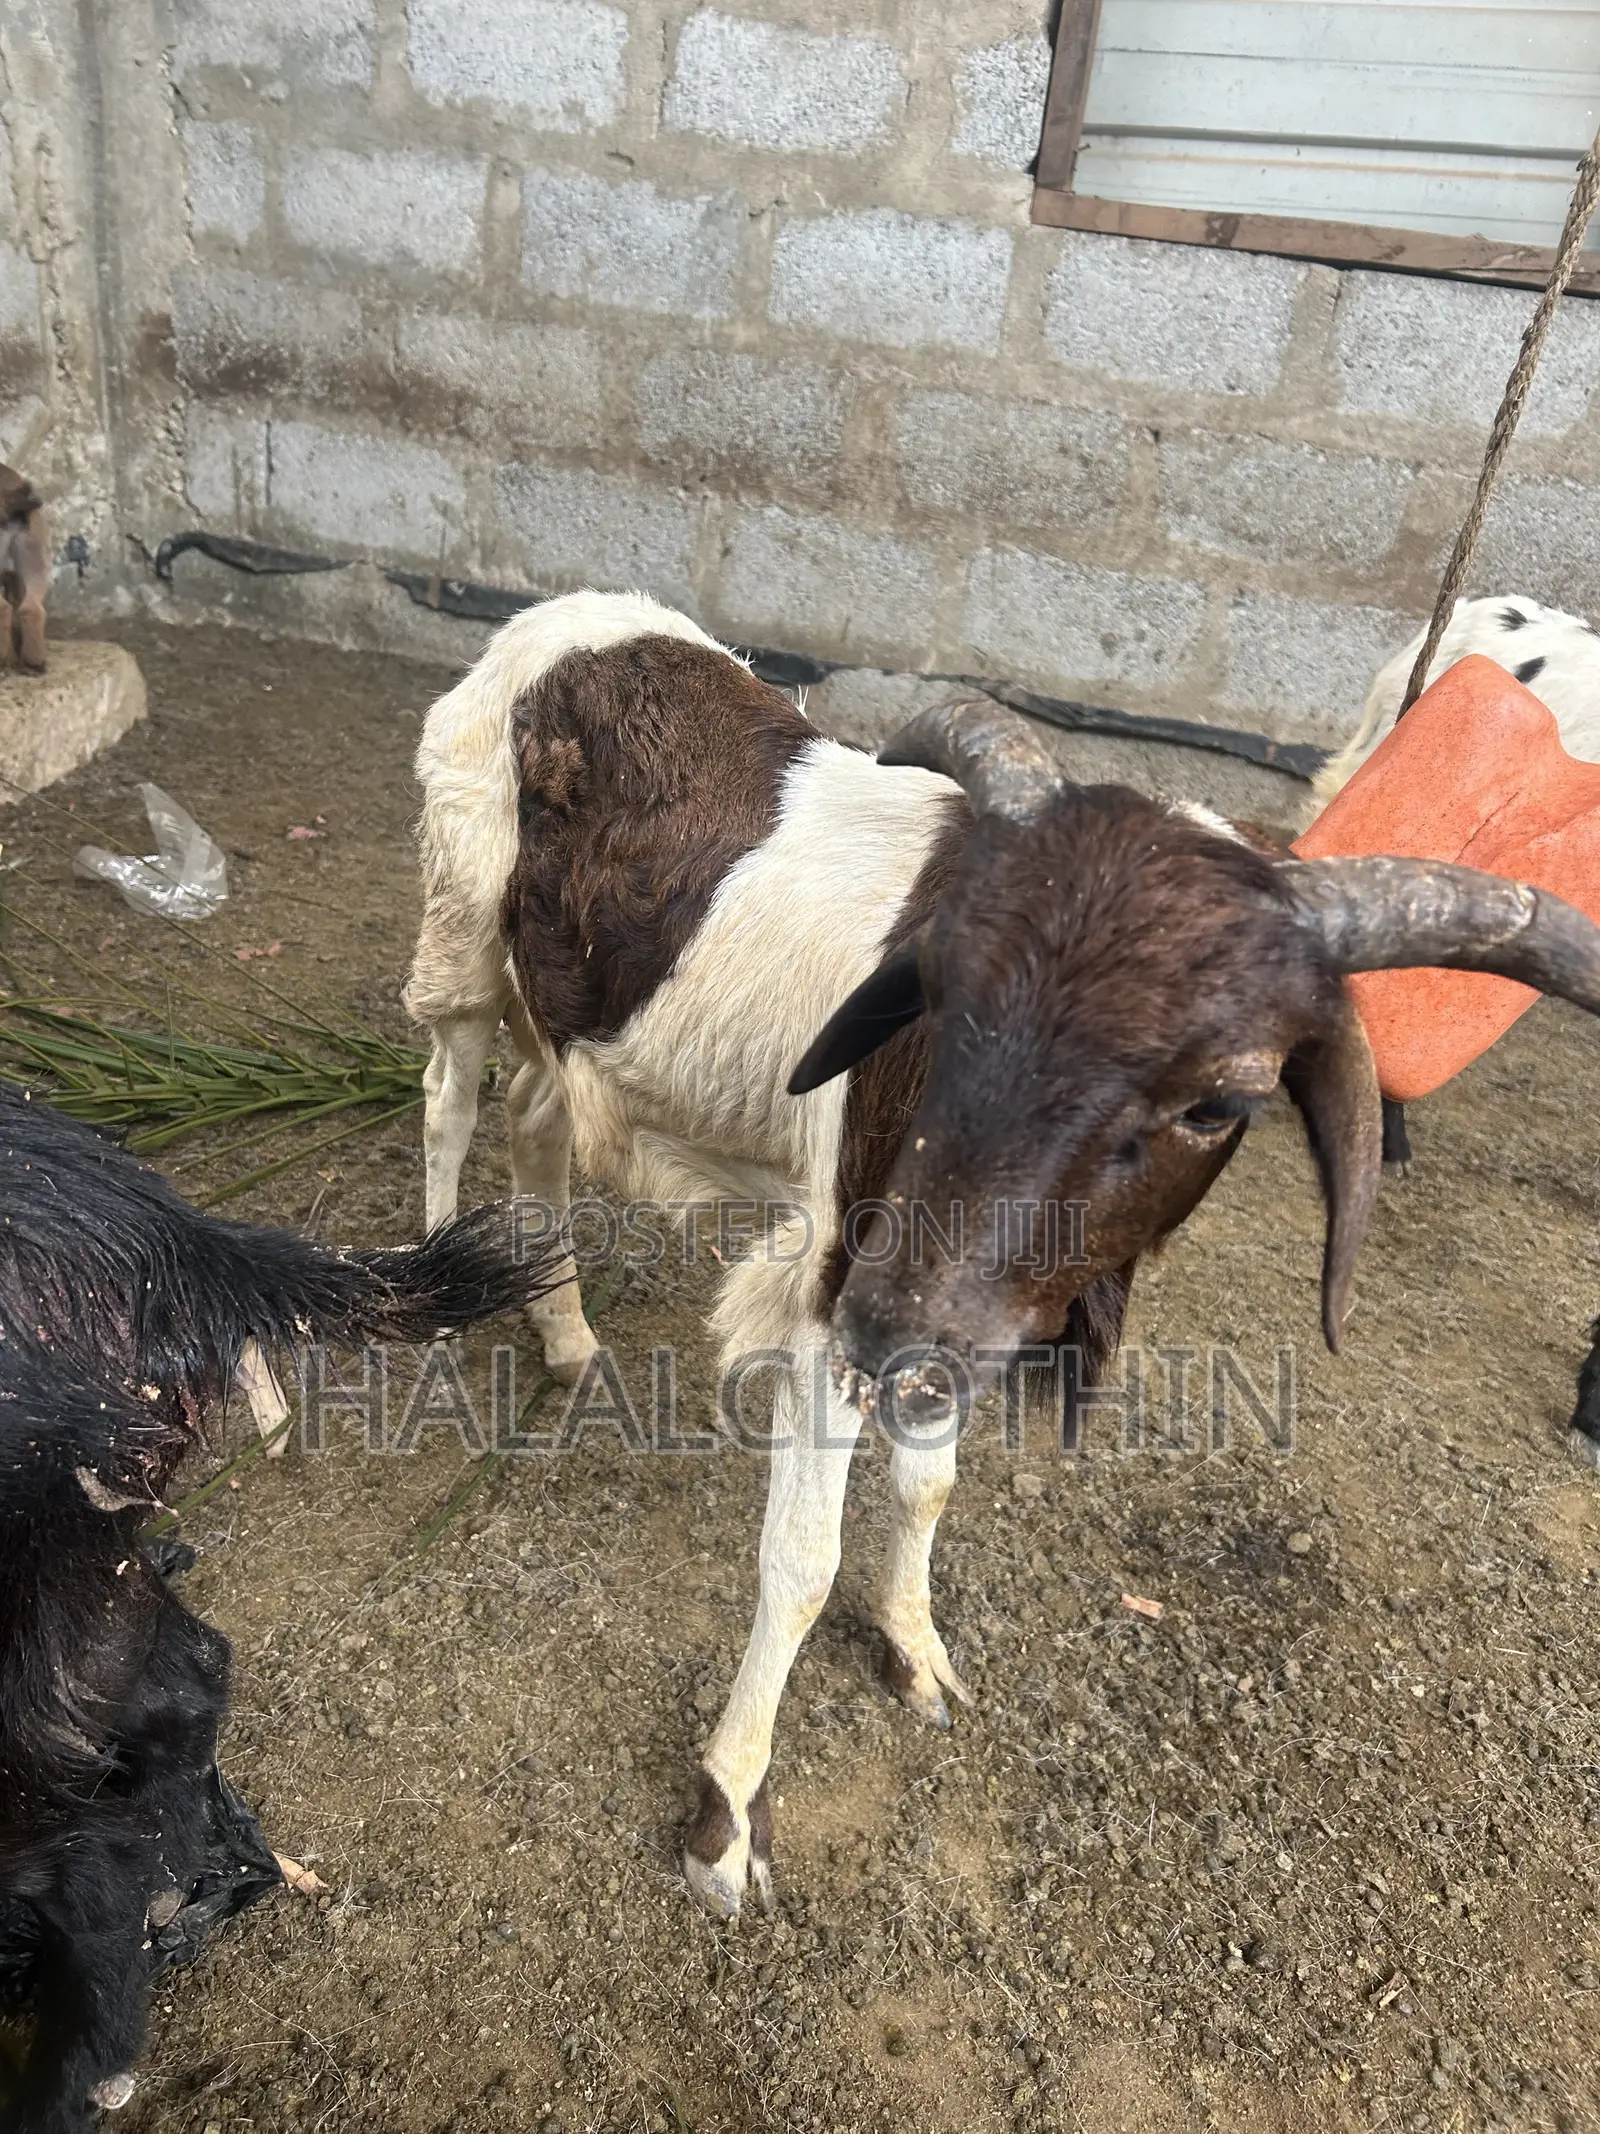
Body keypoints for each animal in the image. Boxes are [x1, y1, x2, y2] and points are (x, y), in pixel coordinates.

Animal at [406, 588, 1600, 1919]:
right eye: (935, 991)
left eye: (1221, 1099)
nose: (891, 1323)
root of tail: (568, 622)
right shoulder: (837, 1282)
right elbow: (802, 1559)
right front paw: (724, 1815)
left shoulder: (962, 1309)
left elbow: (928, 1486)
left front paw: (914, 1649)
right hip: (462, 932)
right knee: (448, 1096)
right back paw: (438, 1296)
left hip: (571, 1014)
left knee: (537, 1121)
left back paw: (565, 1334)